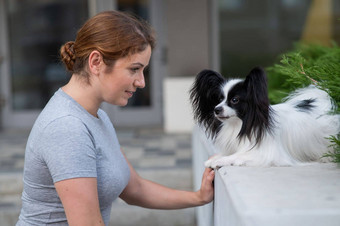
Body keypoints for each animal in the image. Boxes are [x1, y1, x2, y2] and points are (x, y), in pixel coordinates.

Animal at [190, 66, 338, 167]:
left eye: (235, 100)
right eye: (219, 99)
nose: (216, 110)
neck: (240, 124)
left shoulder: (265, 155)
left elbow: (238, 156)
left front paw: (221, 160)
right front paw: (216, 158)